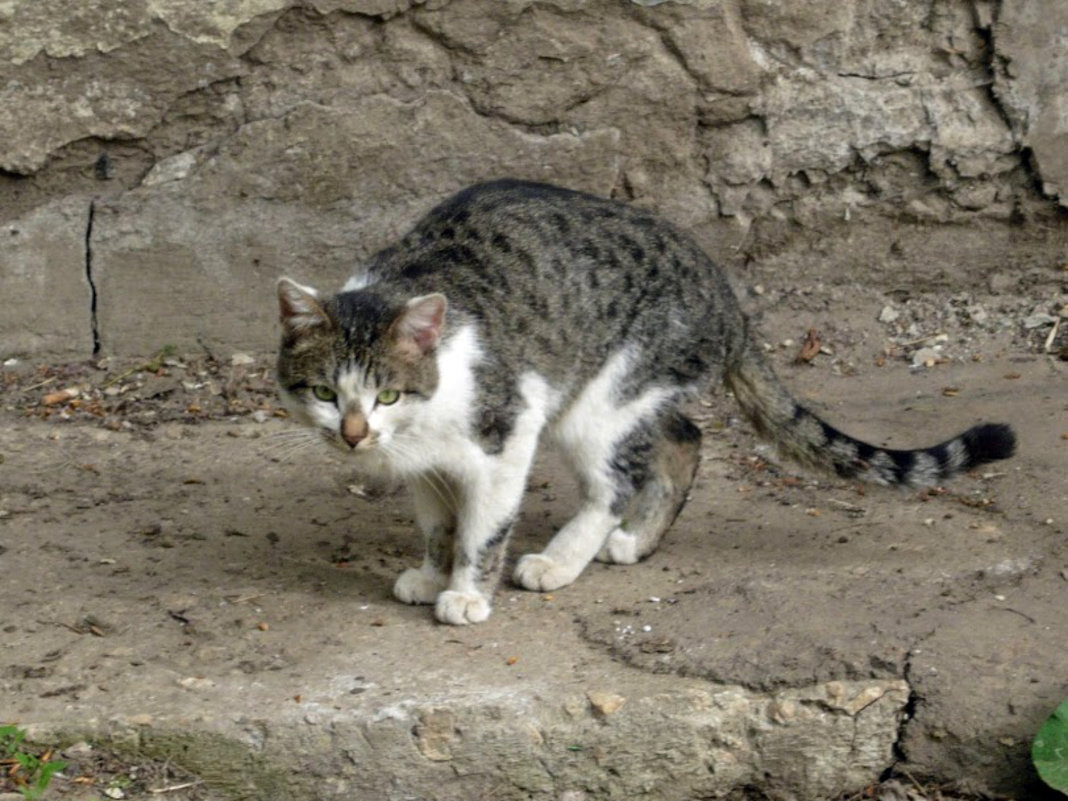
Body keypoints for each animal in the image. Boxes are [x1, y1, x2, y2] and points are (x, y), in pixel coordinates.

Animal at [271, 181, 1012, 627]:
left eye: (387, 392)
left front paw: (466, 594)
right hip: (629, 396)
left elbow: (484, 528)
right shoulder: (426, 467)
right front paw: (431, 575)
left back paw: (562, 559)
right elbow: (436, 525)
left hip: (598, 399)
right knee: (685, 437)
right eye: (325, 392)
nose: (354, 433)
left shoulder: (506, 433)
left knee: (617, 482)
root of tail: (726, 295)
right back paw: (638, 542)